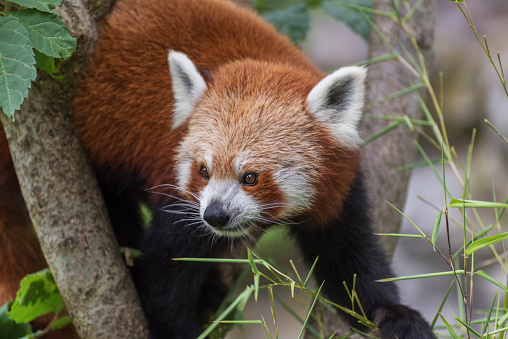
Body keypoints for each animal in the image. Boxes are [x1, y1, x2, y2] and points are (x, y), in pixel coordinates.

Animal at [0, 0, 434, 338]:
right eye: (204, 170)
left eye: (251, 177)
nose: (216, 215)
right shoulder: (179, 194)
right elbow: (165, 275)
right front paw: (177, 328)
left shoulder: (338, 189)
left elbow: (349, 258)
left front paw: (395, 316)